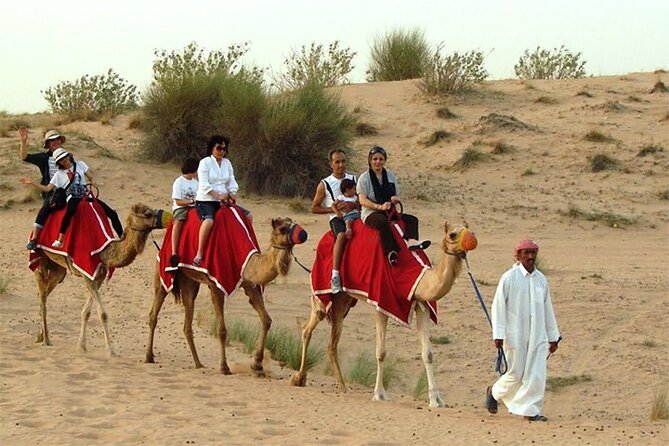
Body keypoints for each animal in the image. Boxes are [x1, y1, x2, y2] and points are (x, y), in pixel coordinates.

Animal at [33, 203, 171, 356]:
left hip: (58, 270)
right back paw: (46, 339)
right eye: (147, 213)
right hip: (40, 260)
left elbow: (86, 312)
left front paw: (81, 346)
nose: (169, 217)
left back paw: (40, 336)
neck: (104, 252)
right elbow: (103, 314)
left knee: (44, 293)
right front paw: (111, 351)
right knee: (42, 297)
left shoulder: (98, 277)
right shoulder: (87, 275)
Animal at [145, 216, 306, 376]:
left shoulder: (250, 285)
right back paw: (149, 357)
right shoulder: (216, 285)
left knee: (187, 322)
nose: (303, 234)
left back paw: (198, 364)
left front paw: (257, 366)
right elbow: (222, 330)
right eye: (282, 228)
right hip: (162, 272)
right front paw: (224, 367)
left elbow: (266, 320)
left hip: (189, 282)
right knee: (154, 312)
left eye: (293, 223)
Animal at [290, 220, 478, 408]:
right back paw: (298, 378)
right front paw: (379, 394)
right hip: (322, 293)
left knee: (331, 343)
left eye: (469, 230)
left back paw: (342, 386)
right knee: (308, 327)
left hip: (342, 302)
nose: (472, 240)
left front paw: (436, 400)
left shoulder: (422, 304)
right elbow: (381, 352)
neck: (416, 277)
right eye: (453, 234)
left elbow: (428, 354)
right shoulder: (382, 303)